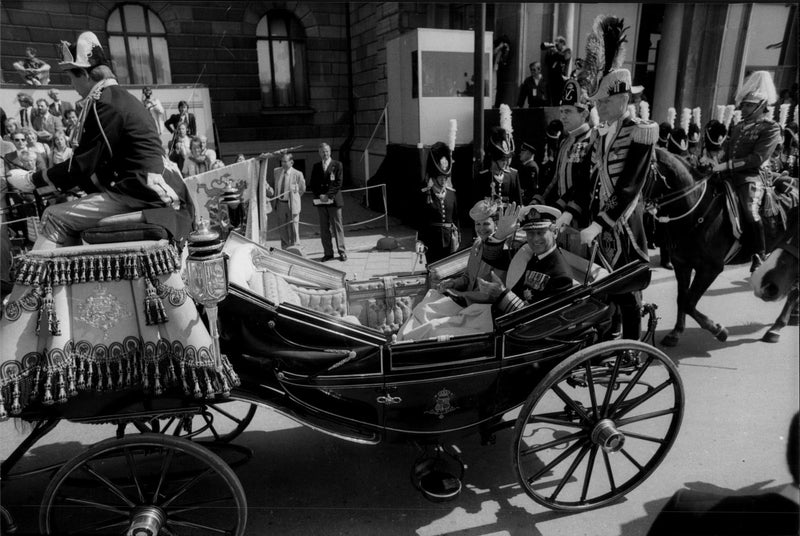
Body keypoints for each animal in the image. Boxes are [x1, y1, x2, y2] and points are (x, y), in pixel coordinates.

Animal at [644, 149, 788, 346]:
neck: (697, 210)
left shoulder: (710, 268)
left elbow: (689, 302)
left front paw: (718, 330)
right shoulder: (682, 264)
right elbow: (682, 299)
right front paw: (676, 332)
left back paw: (777, 327)